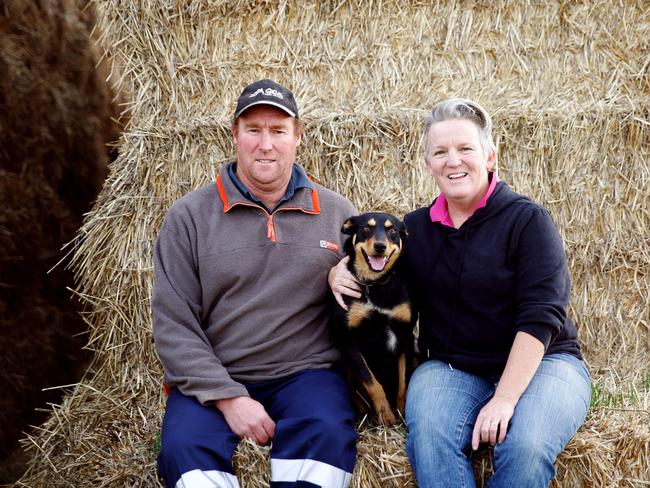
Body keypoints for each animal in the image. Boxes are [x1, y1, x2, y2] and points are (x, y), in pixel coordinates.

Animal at [332, 212, 412, 426]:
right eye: (366, 229)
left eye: (392, 231)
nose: (380, 246)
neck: (375, 284)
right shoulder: (349, 340)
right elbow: (372, 382)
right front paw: (386, 415)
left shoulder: (405, 334)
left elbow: (404, 382)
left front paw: (401, 412)